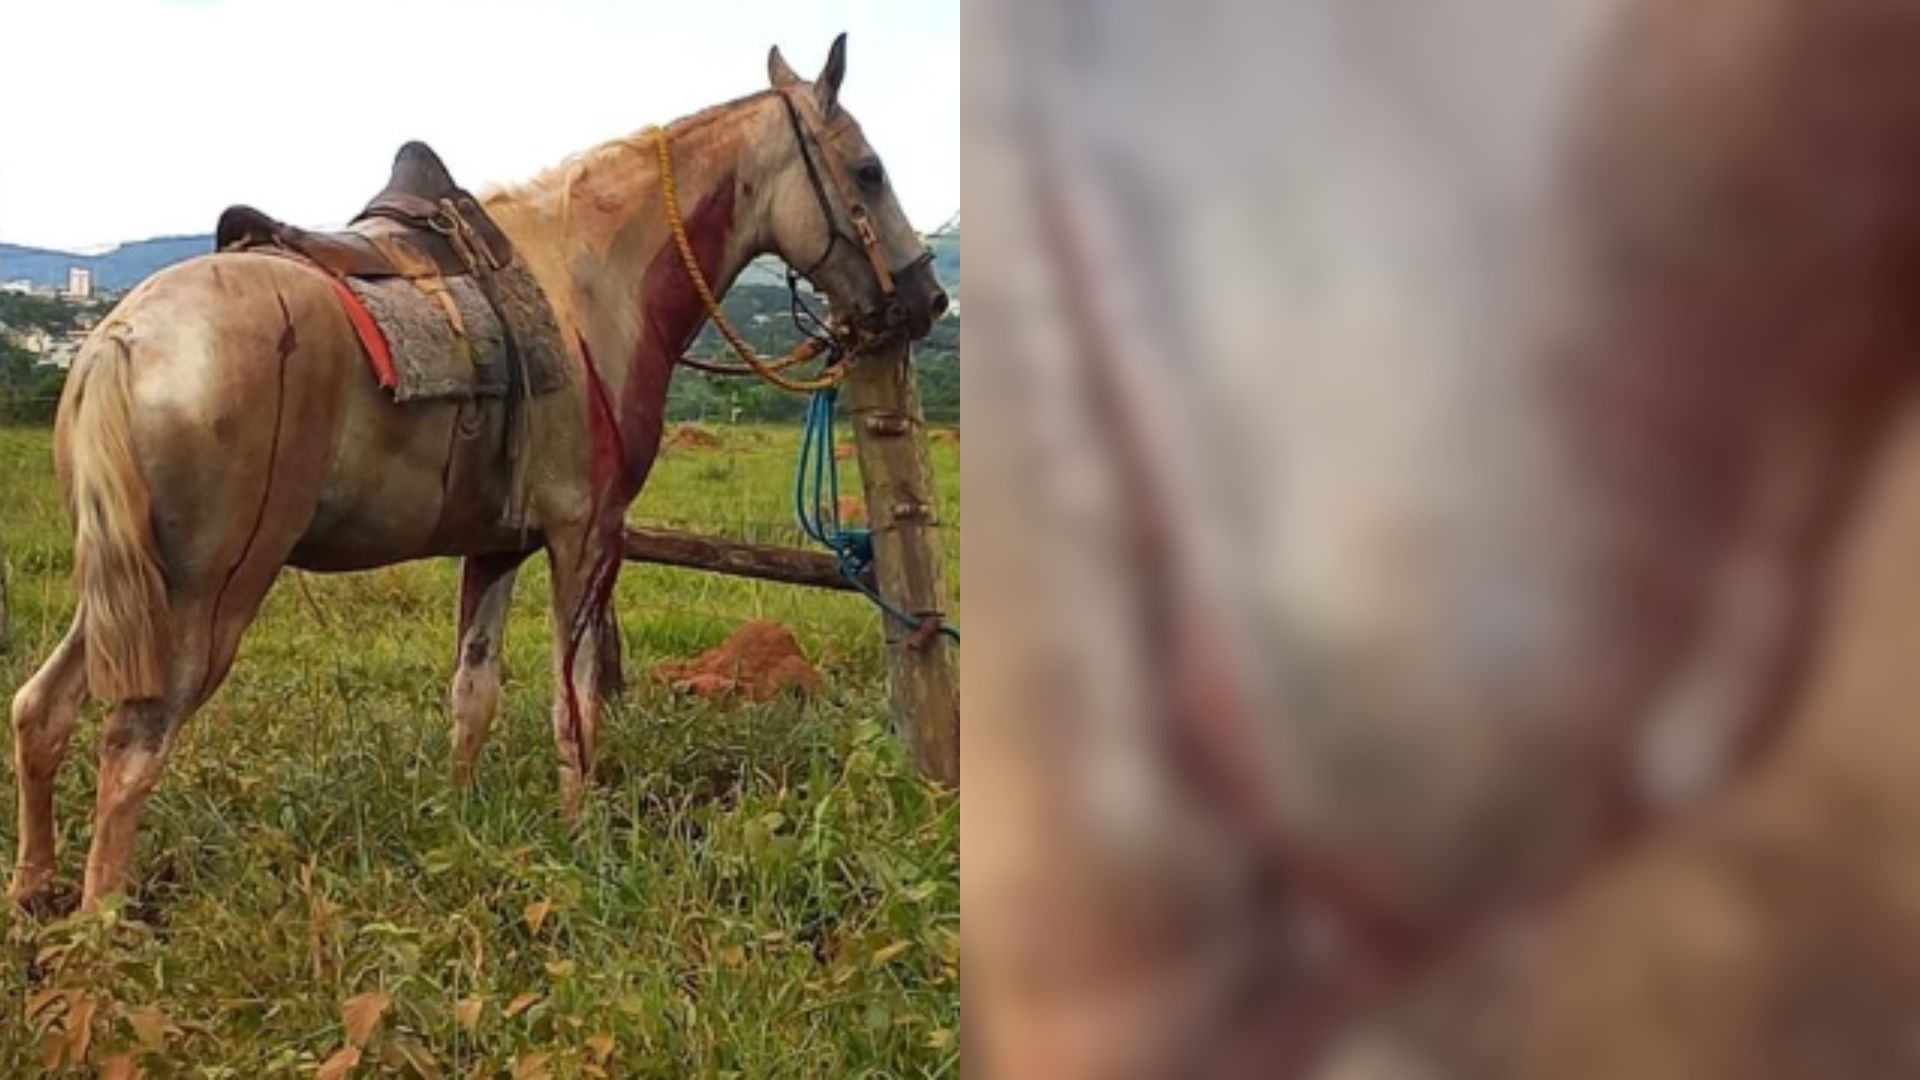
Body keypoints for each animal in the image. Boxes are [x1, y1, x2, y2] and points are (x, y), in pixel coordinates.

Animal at [7, 33, 948, 907]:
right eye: (867, 170)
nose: (927, 300)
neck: (589, 284)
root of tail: (122, 339)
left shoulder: (497, 545)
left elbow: (474, 694)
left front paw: (458, 822)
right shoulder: (586, 537)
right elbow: (576, 705)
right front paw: (578, 833)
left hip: (127, 591)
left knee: (40, 710)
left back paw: (35, 891)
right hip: (210, 593)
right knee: (133, 746)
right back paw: (101, 928)